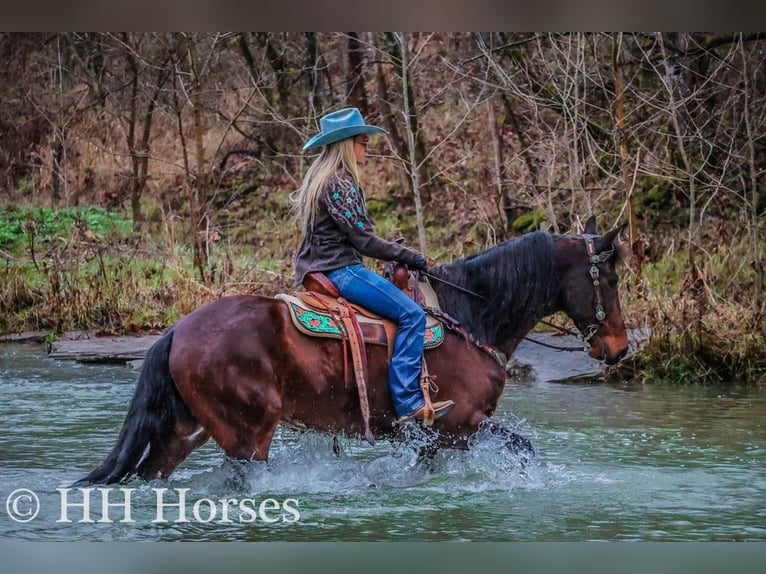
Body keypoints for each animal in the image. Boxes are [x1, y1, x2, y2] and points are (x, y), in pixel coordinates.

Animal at [75, 218, 632, 488]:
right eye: (608, 278)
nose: (620, 349)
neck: (469, 317)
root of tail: (176, 331)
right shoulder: (461, 424)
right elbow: (522, 449)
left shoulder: (436, 438)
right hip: (247, 434)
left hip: (184, 431)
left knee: (153, 471)